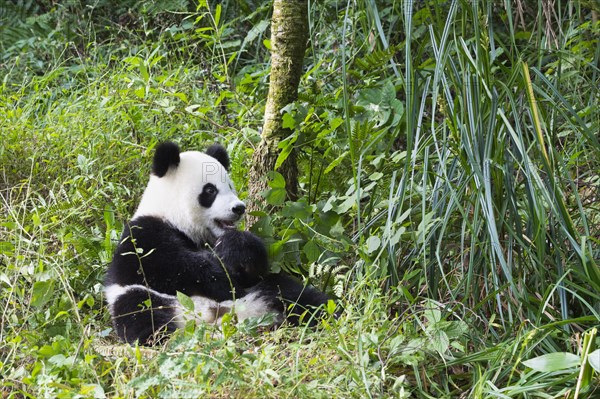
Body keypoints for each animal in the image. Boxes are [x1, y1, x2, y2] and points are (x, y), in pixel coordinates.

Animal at [102, 142, 328, 346]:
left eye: (229, 186)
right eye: (210, 190)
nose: (239, 208)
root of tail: (218, 318)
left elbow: (252, 270)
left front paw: (234, 247)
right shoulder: (144, 234)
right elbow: (171, 268)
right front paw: (220, 273)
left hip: (264, 293)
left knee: (293, 294)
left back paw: (326, 313)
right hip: (152, 302)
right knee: (140, 309)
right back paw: (166, 338)